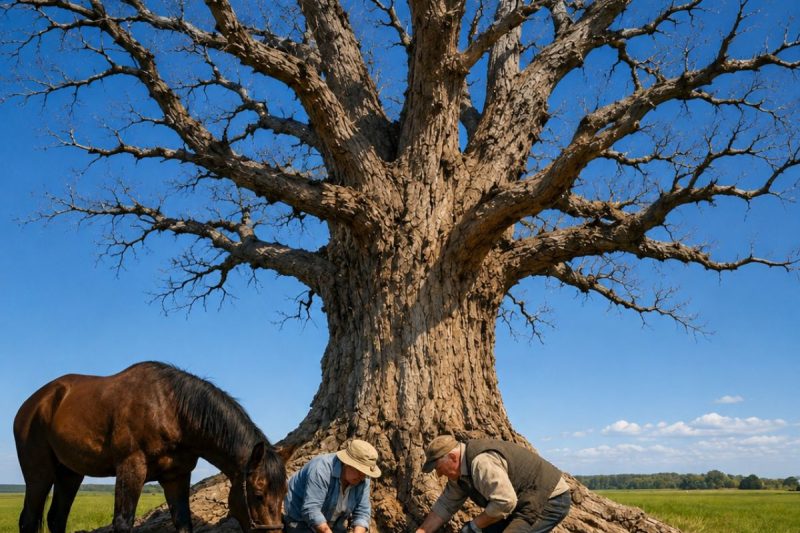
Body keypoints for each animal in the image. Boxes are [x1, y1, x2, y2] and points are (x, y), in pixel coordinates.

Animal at [13, 361, 291, 533]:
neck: (172, 409)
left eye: (283, 493)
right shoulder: (131, 469)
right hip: (39, 475)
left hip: (70, 475)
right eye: (258, 494)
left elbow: (183, 523)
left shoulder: (177, 477)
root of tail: (34, 403)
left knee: (56, 519)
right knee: (28, 520)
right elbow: (123, 523)